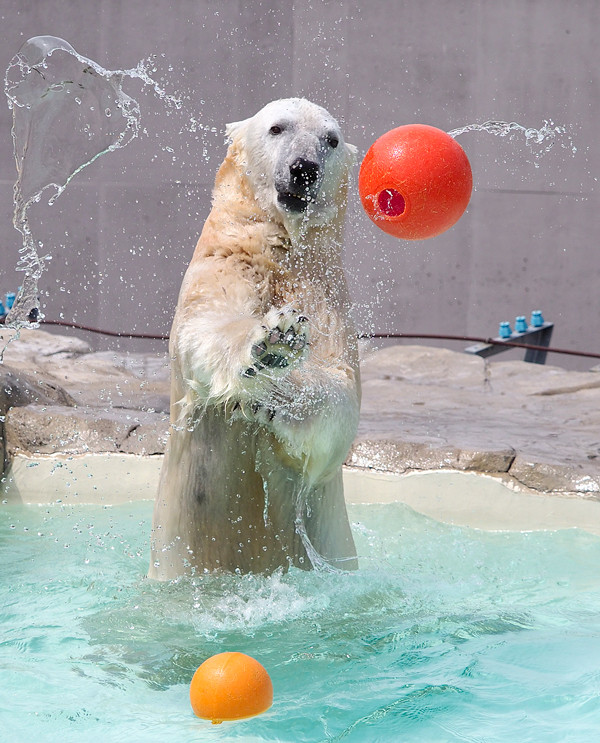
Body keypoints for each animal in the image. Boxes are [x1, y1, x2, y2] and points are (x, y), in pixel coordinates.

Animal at [149, 97, 360, 580]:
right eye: (277, 127)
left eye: (331, 139)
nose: (304, 169)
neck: (279, 246)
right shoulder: (226, 258)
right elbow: (208, 325)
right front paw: (272, 345)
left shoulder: (324, 292)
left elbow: (340, 388)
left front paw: (280, 398)